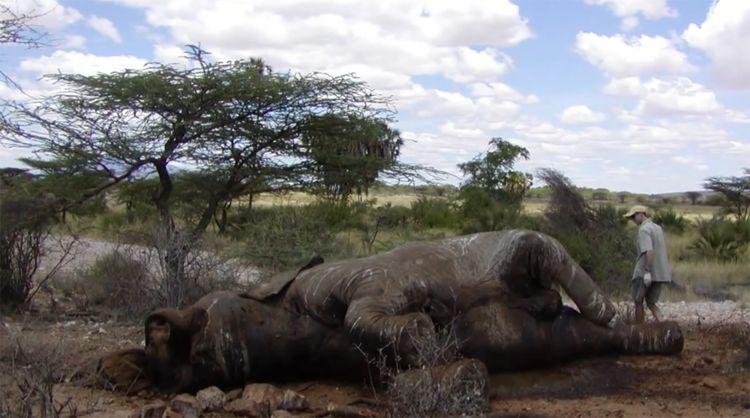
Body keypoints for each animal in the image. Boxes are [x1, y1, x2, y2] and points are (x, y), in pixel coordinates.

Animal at [98, 230, 684, 393]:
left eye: (198, 322)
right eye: (197, 354)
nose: (158, 324)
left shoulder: (349, 282)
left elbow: (372, 314)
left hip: (508, 249)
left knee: (552, 262)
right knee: (576, 319)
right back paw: (660, 335)